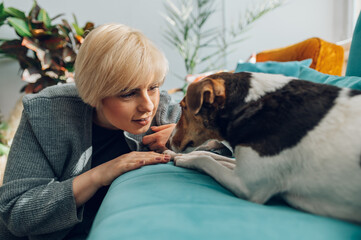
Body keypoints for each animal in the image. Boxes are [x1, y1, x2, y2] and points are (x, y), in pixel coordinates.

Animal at [165, 71, 360, 223]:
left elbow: (207, 159)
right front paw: (180, 156)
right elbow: (218, 157)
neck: (248, 105)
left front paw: (185, 159)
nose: (166, 143)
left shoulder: (247, 185)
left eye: (183, 108)